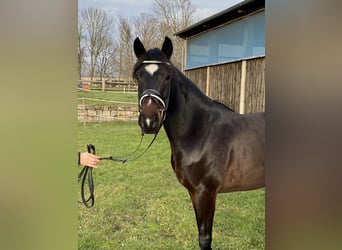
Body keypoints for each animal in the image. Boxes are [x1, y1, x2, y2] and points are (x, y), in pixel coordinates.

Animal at [133, 36, 264, 249]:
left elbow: (205, 238)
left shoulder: (206, 193)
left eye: (167, 76)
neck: (201, 131)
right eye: (138, 76)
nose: (149, 121)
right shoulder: (194, 192)